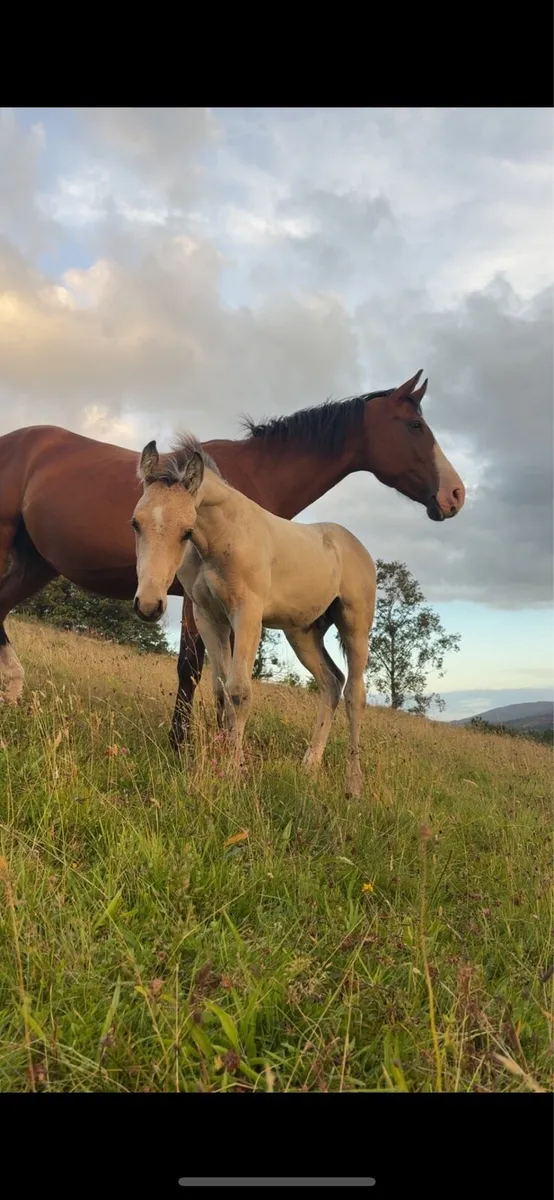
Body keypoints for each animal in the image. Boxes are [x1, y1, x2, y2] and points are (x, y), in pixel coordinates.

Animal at [0, 370, 465, 743]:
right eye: (415, 425)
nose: (456, 494)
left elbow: (217, 677)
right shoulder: (195, 599)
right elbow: (192, 669)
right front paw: (181, 745)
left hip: (37, 565)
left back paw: (13, 692)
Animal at [132, 435, 377, 798]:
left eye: (186, 531)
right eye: (135, 523)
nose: (148, 605)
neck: (220, 538)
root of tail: (359, 548)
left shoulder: (247, 613)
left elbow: (239, 691)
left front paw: (234, 773)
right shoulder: (208, 617)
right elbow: (220, 689)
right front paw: (222, 761)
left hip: (355, 626)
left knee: (355, 695)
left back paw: (354, 787)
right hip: (303, 632)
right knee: (332, 683)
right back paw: (309, 766)